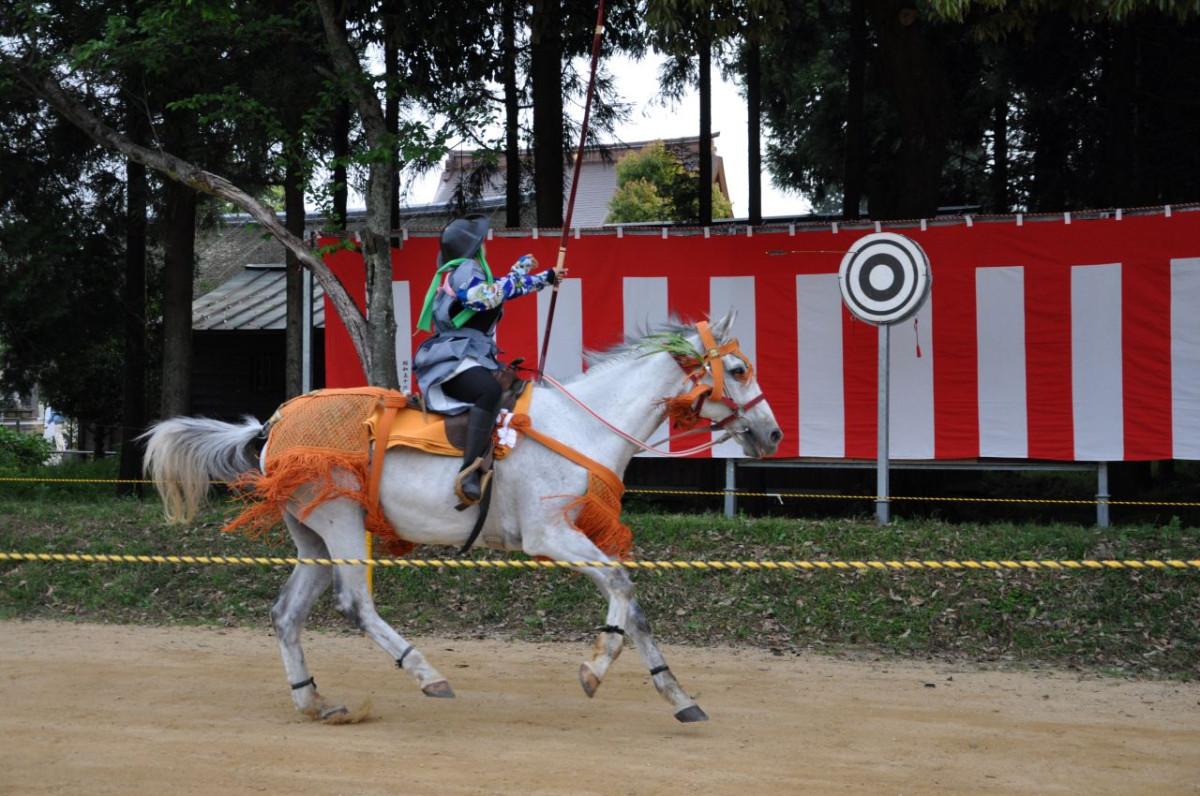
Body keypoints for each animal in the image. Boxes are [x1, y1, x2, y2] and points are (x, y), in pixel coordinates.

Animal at [142, 313, 782, 723]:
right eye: (740, 369)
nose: (773, 434)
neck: (581, 426)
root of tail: (274, 425)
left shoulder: (577, 536)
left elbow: (634, 607)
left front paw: (678, 696)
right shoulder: (551, 535)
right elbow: (623, 588)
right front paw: (595, 669)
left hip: (313, 536)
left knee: (286, 614)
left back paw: (314, 702)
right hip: (343, 523)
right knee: (355, 604)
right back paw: (426, 673)